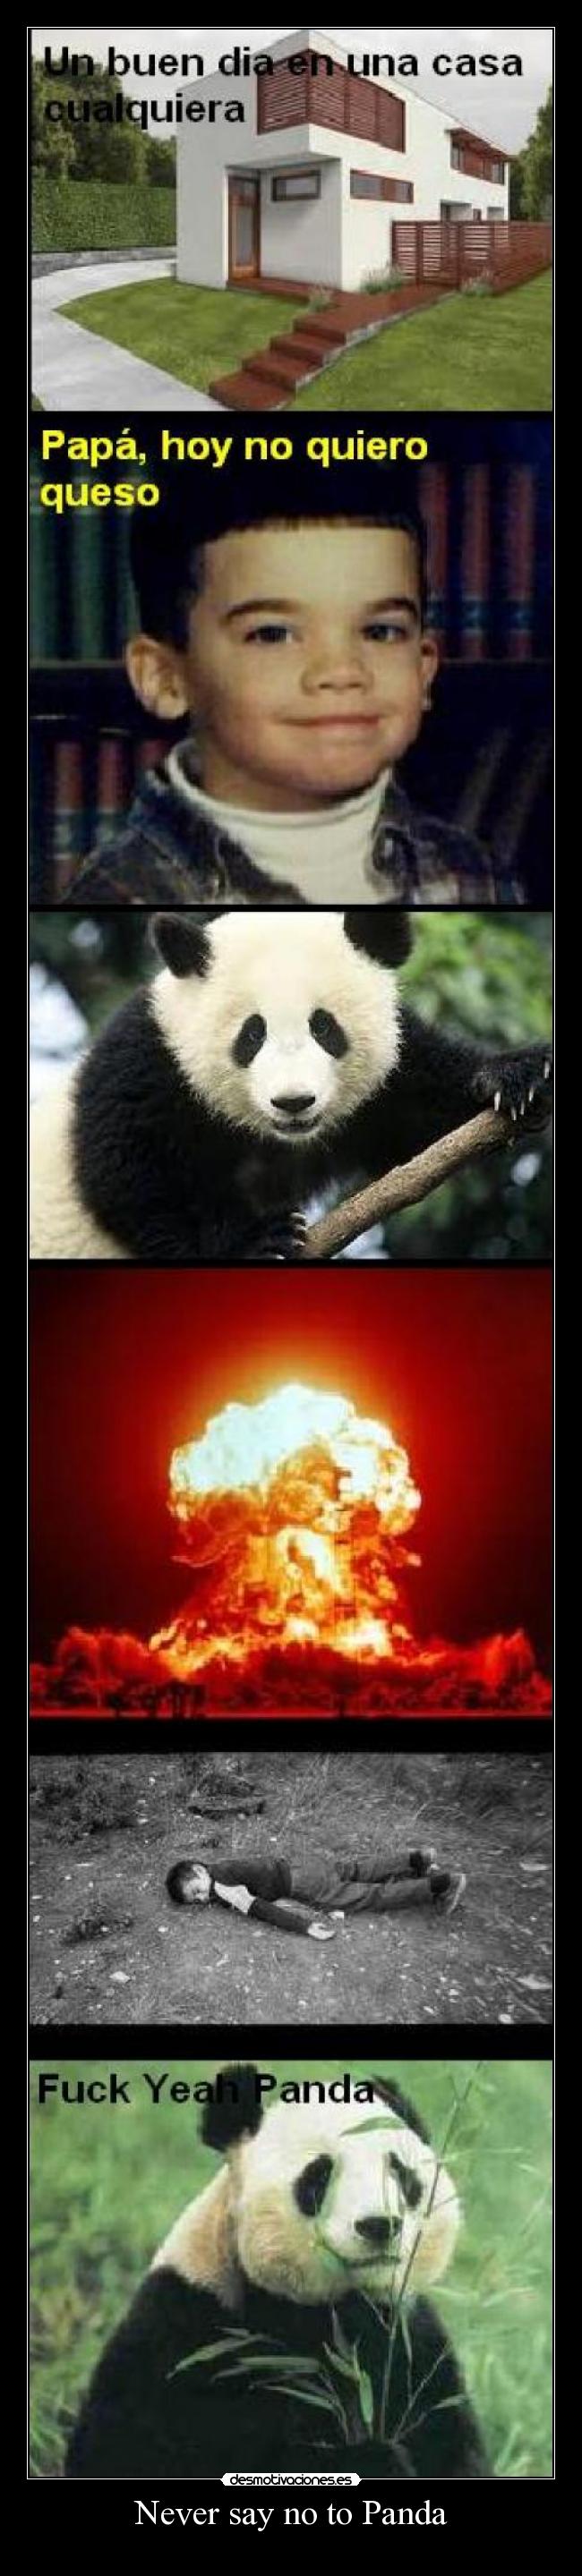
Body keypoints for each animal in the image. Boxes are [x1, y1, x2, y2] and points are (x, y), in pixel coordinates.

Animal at [30, 909, 551, 1264]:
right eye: (252, 1034)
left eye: (325, 1027)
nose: (294, 1101)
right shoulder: (148, 1065)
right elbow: (130, 1177)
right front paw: (256, 1241)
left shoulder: (387, 1085)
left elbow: (419, 1116)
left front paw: (516, 1078)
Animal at [66, 2064, 489, 2480]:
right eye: (319, 2175)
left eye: (400, 2173)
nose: (379, 2224)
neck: (330, 2310)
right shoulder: (190, 2329)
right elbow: (139, 2450)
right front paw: (374, 2461)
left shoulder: (409, 2342)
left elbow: (450, 2441)